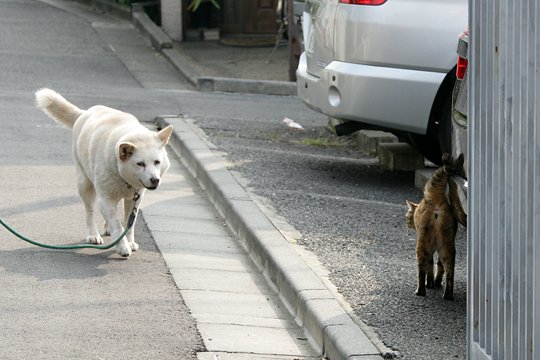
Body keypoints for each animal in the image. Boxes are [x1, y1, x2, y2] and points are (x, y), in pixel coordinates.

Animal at [35, 88, 173, 258]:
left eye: (157, 162)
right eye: (140, 164)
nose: (155, 180)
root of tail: (85, 113)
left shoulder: (136, 198)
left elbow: (129, 223)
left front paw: (129, 241)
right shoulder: (106, 198)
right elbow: (118, 225)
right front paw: (123, 247)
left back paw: (107, 228)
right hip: (85, 184)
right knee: (90, 212)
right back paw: (93, 235)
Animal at [408, 153, 466, 300]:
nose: (407, 223)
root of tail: (436, 198)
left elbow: (429, 266)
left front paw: (430, 284)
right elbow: (439, 266)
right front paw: (436, 283)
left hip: (422, 245)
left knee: (421, 268)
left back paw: (420, 290)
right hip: (447, 246)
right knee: (449, 270)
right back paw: (448, 295)